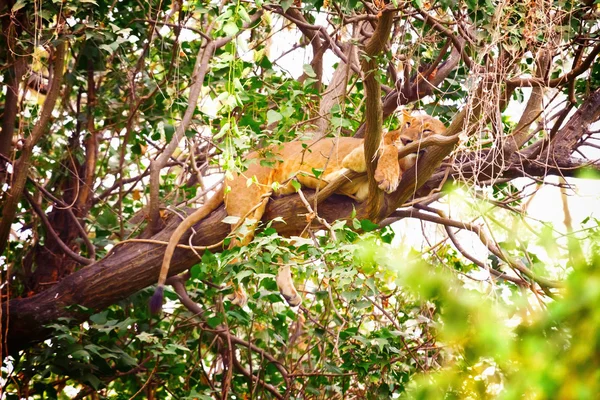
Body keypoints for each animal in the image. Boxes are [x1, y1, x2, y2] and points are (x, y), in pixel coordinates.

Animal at [150, 112, 446, 312]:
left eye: (426, 130)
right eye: (408, 125)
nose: (408, 139)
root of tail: (237, 167)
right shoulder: (359, 154)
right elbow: (389, 149)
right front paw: (389, 172)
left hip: (295, 224)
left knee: (284, 254)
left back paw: (288, 291)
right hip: (248, 209)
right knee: (232, 253)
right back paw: (238, 292)